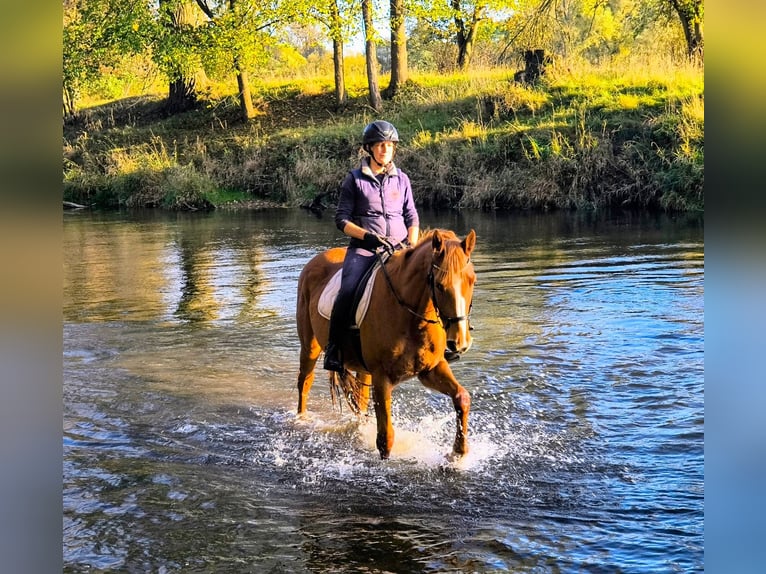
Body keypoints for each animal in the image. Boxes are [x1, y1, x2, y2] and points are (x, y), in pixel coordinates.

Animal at [295, 228, 477, 459]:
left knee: (359, 398)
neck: (410, 317)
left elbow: (462, 397)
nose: (460, 342)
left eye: (472, 280)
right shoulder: (382, 378)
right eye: (439, 285)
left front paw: (458, 453)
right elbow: (386, 440)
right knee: (305, 382)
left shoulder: (431, 369)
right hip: (310, 346)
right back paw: (301, 420)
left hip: (362, 367)